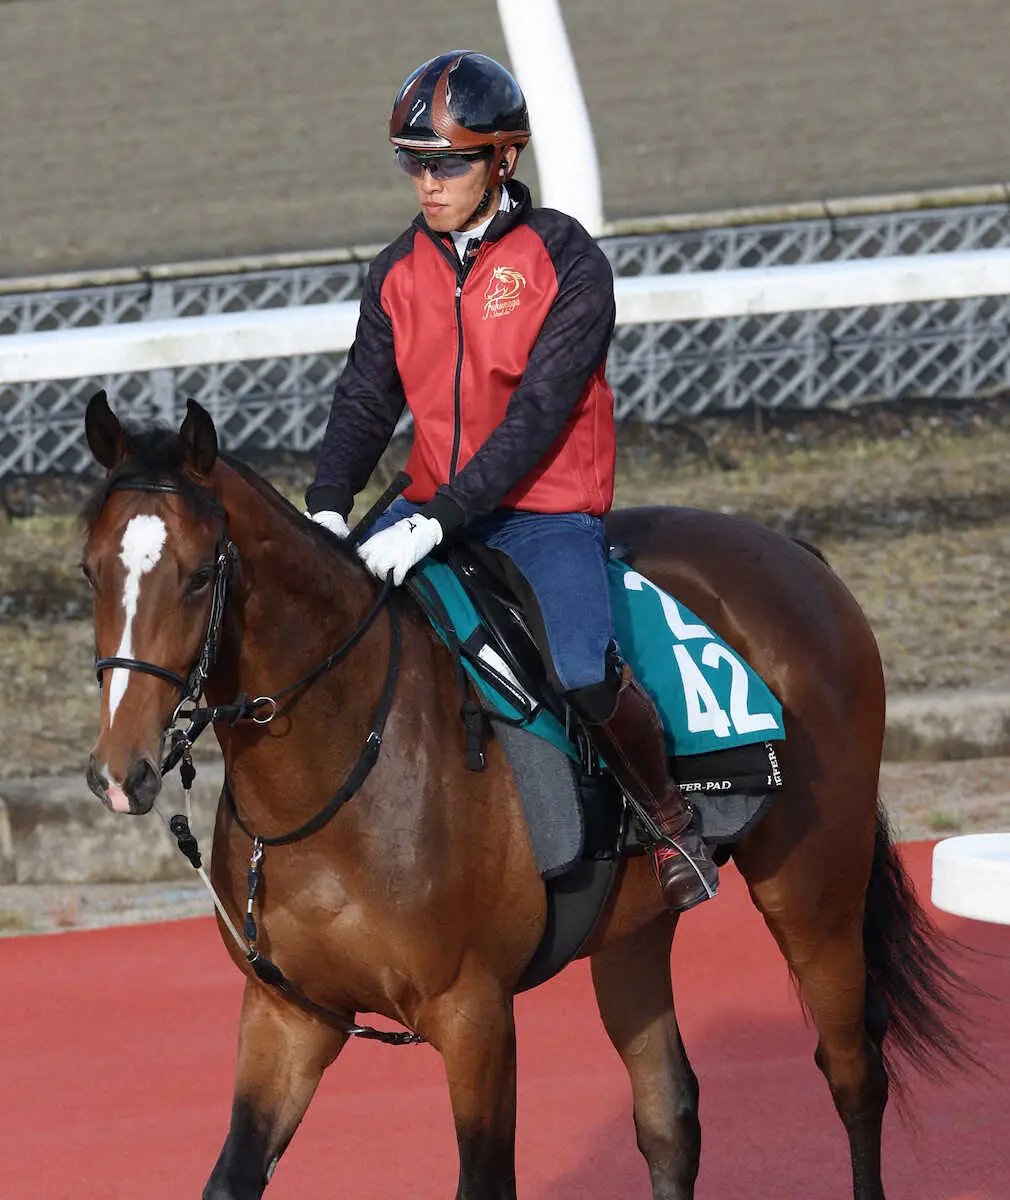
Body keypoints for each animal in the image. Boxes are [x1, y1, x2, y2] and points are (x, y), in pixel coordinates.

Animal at [82, 388, 964, 1195]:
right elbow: (231, 1177)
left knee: (853, 1072)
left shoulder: (474, 1016)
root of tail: (795, 552)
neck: (347, 763)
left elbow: (484, 1180)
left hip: (814, 886)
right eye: (90, 571)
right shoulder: (288, 1015)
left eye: (201, 576)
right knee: (669, 1115)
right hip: (635, 930)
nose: (119, 771)